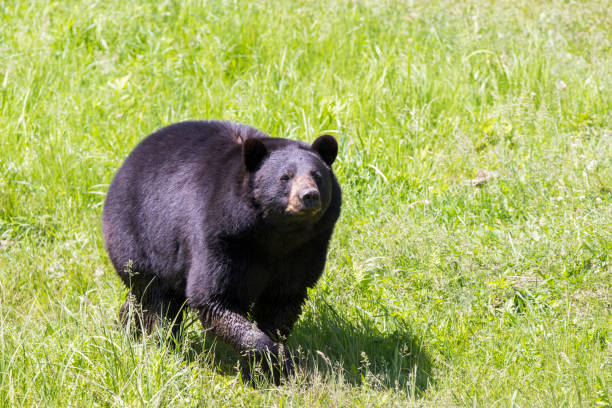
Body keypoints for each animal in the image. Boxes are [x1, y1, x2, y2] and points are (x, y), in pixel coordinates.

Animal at [100, 120, 340, 376]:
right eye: (285, 177)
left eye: (318, 176)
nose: (309, 196)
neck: (275, 234)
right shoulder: (220, 237)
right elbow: (213, 297)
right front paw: (279, 362)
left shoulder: (305, 250)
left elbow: (283, 301)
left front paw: (275, 363)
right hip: (139, 240)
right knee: (160, 303)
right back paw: (161, 343)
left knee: (142, 299)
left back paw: (125, 330)